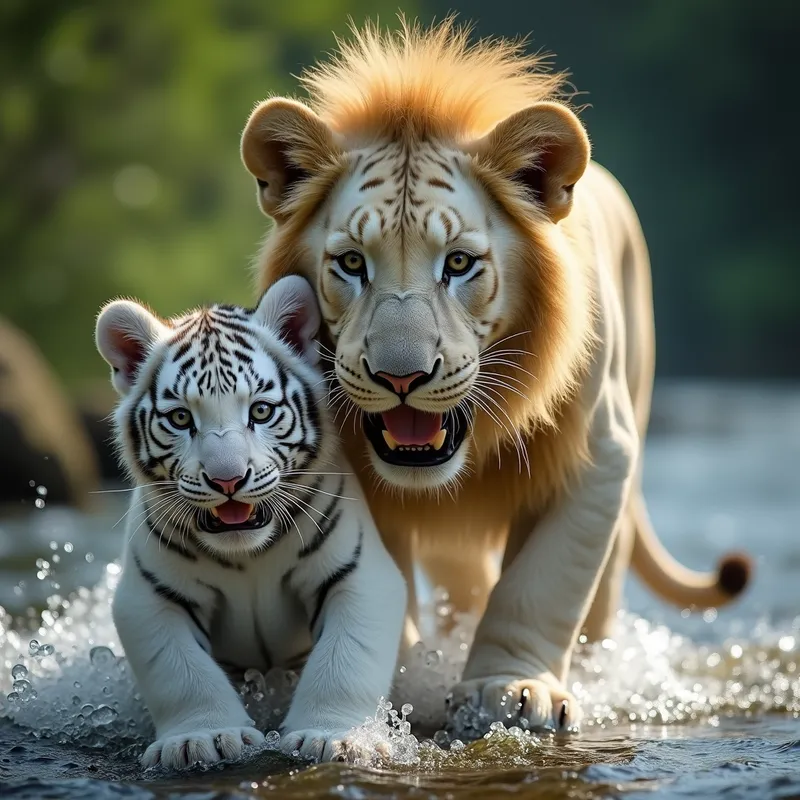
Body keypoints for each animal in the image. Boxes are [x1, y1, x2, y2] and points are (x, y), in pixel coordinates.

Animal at [94, 275, 406, 769]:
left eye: (260, 411)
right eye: (181, 417)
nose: (227, 479)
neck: (247, 556)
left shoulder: (359, 575)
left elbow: (346, 660)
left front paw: (334, 738)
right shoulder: (150, 596)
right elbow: (180, 673)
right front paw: (200, 740)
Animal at [238, 18, 751, 735]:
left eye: (458, 264)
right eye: (350, 263)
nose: (400, 376)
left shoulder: (600, 457)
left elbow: (542, 585)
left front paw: (510, 690)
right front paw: (404, 680)